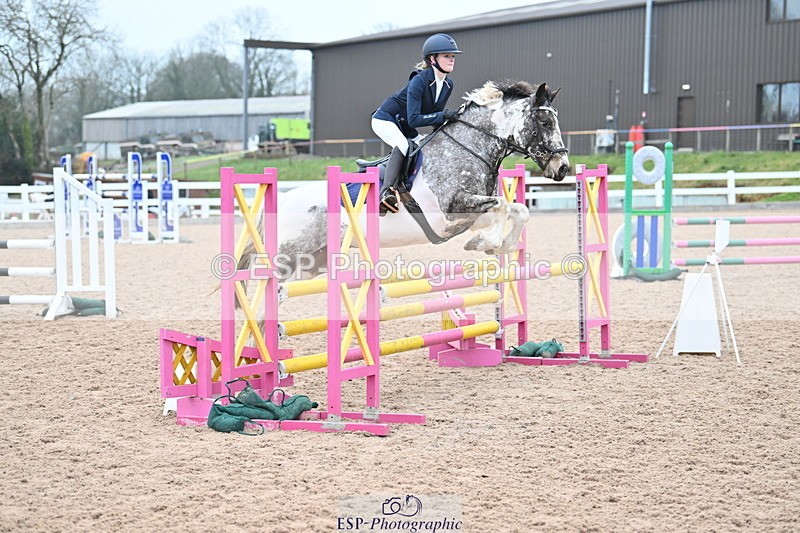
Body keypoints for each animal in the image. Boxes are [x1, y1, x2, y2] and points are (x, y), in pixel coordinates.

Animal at [242, 80, 570, 279]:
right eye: (545, 122)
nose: (563, 168)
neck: (469, 147)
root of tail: (283, 198)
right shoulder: (453, 208)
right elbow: (502, 206)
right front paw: (484, 243)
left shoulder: (467, 217)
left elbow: (518, 210)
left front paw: (498, 246)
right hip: (288, 258)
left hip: (311, 261)